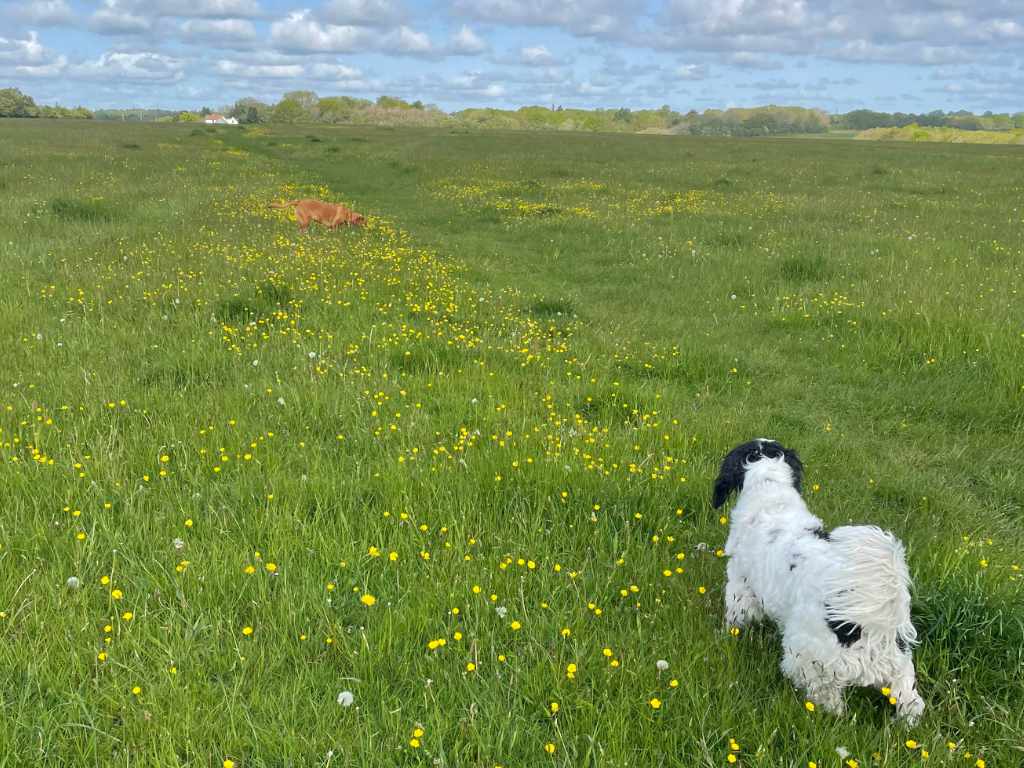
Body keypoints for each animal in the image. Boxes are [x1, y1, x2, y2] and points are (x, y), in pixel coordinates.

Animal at [712, 438, 929, 720]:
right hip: (900, 668)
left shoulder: (740, 586)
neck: (771, 490)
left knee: (830, 702)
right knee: (911, 702)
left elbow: (735, 618)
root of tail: (871, 629)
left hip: (809, 662)